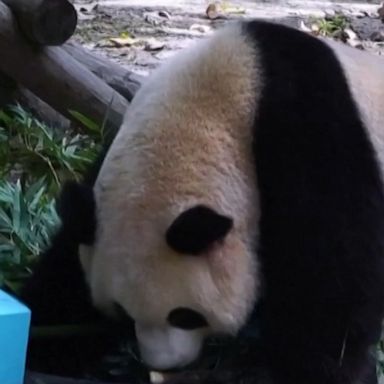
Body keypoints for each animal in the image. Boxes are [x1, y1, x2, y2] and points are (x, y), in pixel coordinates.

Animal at [20, 19, 384, 384]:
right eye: (122, 312)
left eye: (185, 316)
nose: (163, 364)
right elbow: (68, 257)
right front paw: (44, 341)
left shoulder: (310, 129)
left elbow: (331, 261)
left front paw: (323, 368)